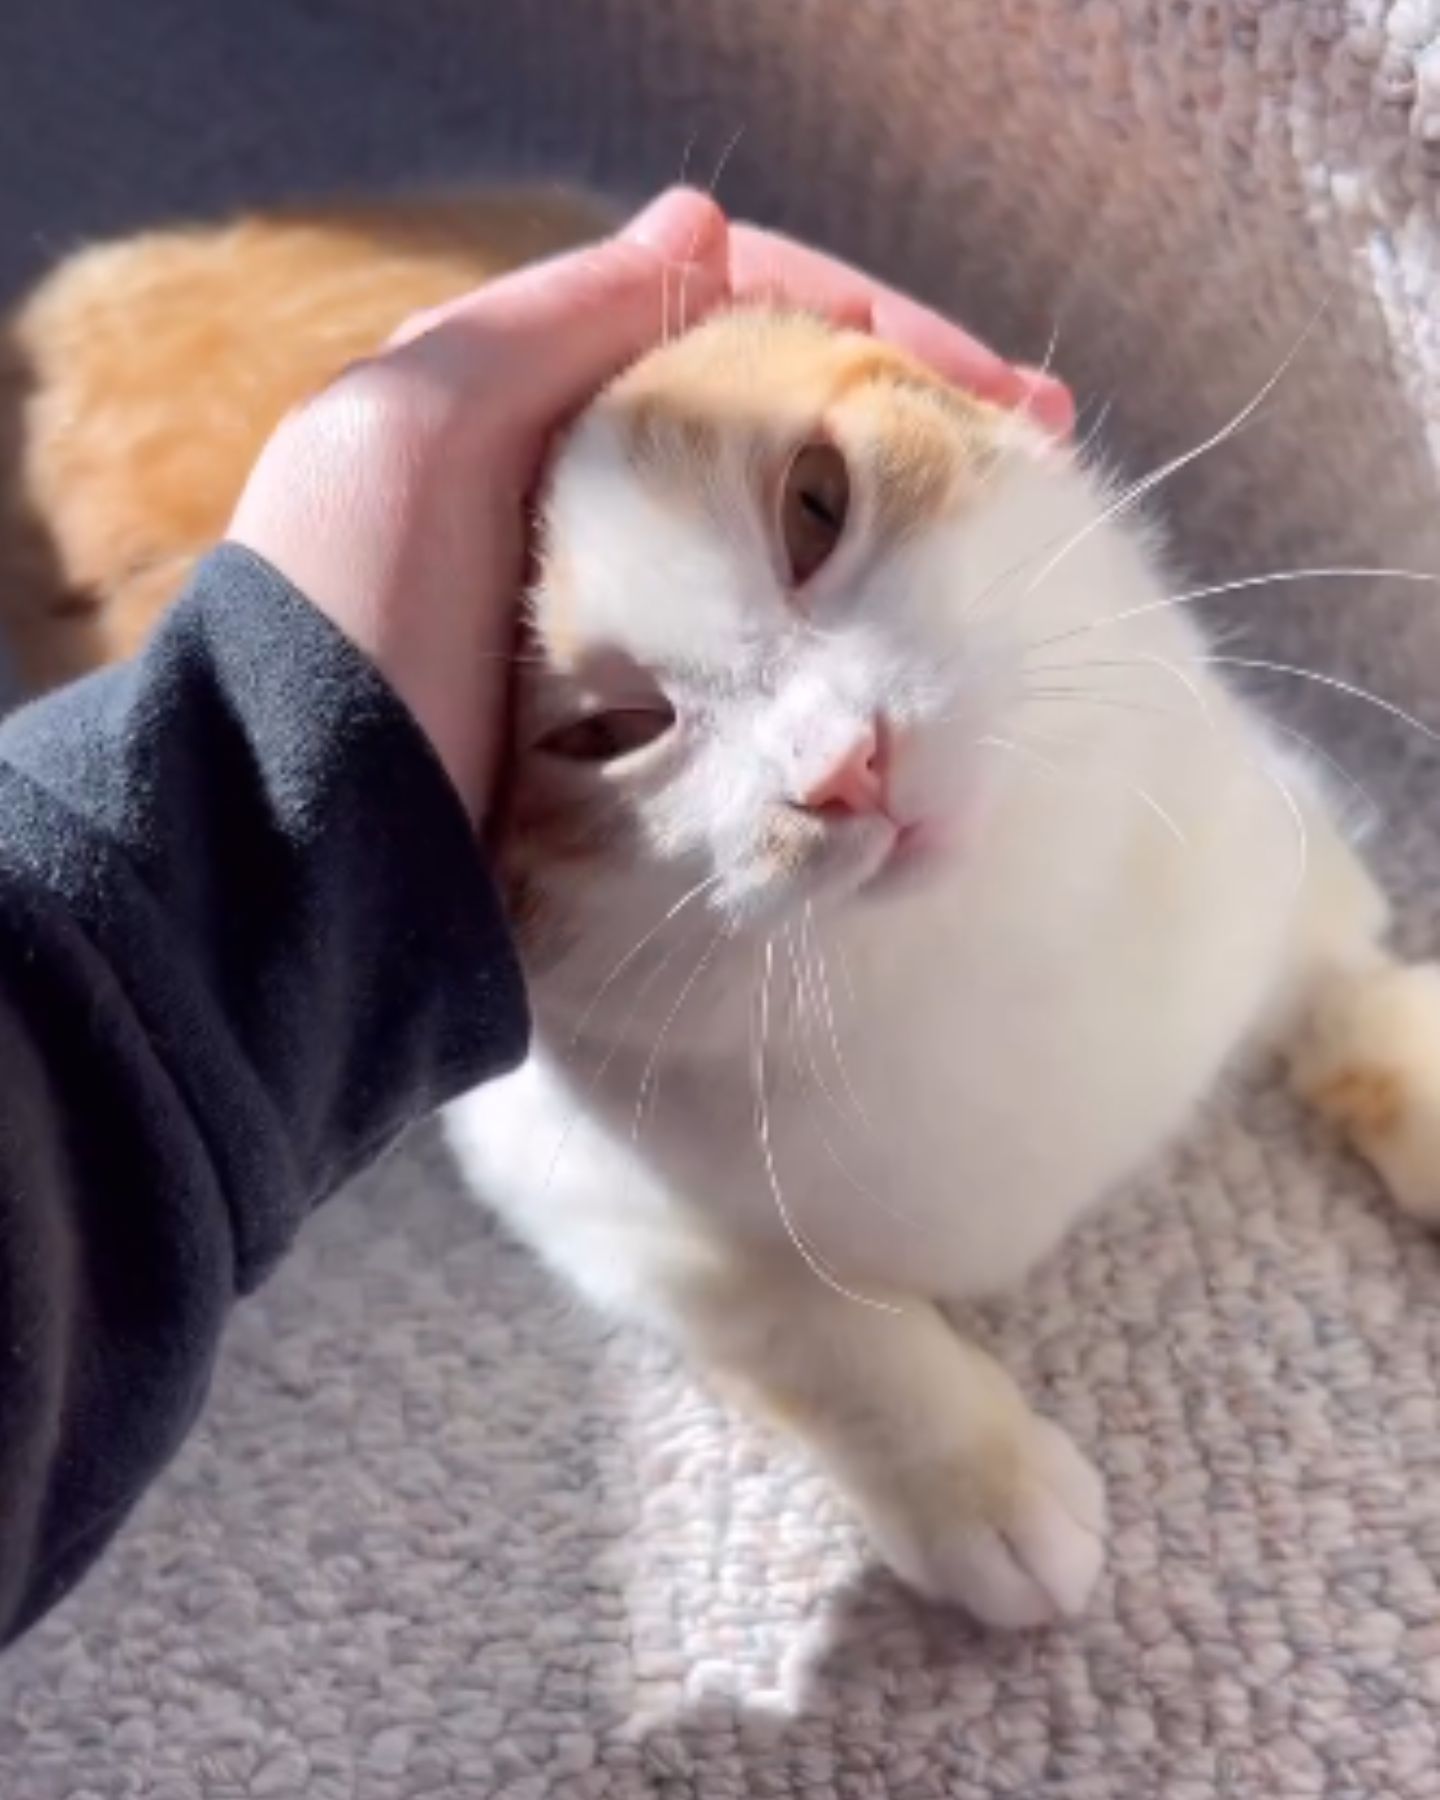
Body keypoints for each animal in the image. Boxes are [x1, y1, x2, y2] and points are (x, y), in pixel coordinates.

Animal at [2, 186, 1440, 1634]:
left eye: (815, 503)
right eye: (607, 733)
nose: (841, 764)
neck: (979, 954)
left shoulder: (1262, 843)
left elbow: (1352, 991)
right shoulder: (586, 1189)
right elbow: (812, 1327)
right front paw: (974, 1477)